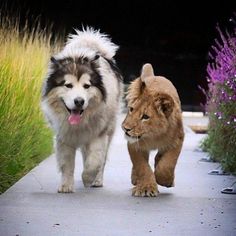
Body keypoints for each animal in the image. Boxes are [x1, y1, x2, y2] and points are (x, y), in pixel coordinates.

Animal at [41, 28, 121, 194]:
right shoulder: (63, 137)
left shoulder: (99, 134)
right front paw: (66, 186)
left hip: (108, 130)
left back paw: (97, 180)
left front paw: (88, 178)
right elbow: (67, 164)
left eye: (87, 86)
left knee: (101, 159)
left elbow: (95, 161)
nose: (79, 101)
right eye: (68, 85)